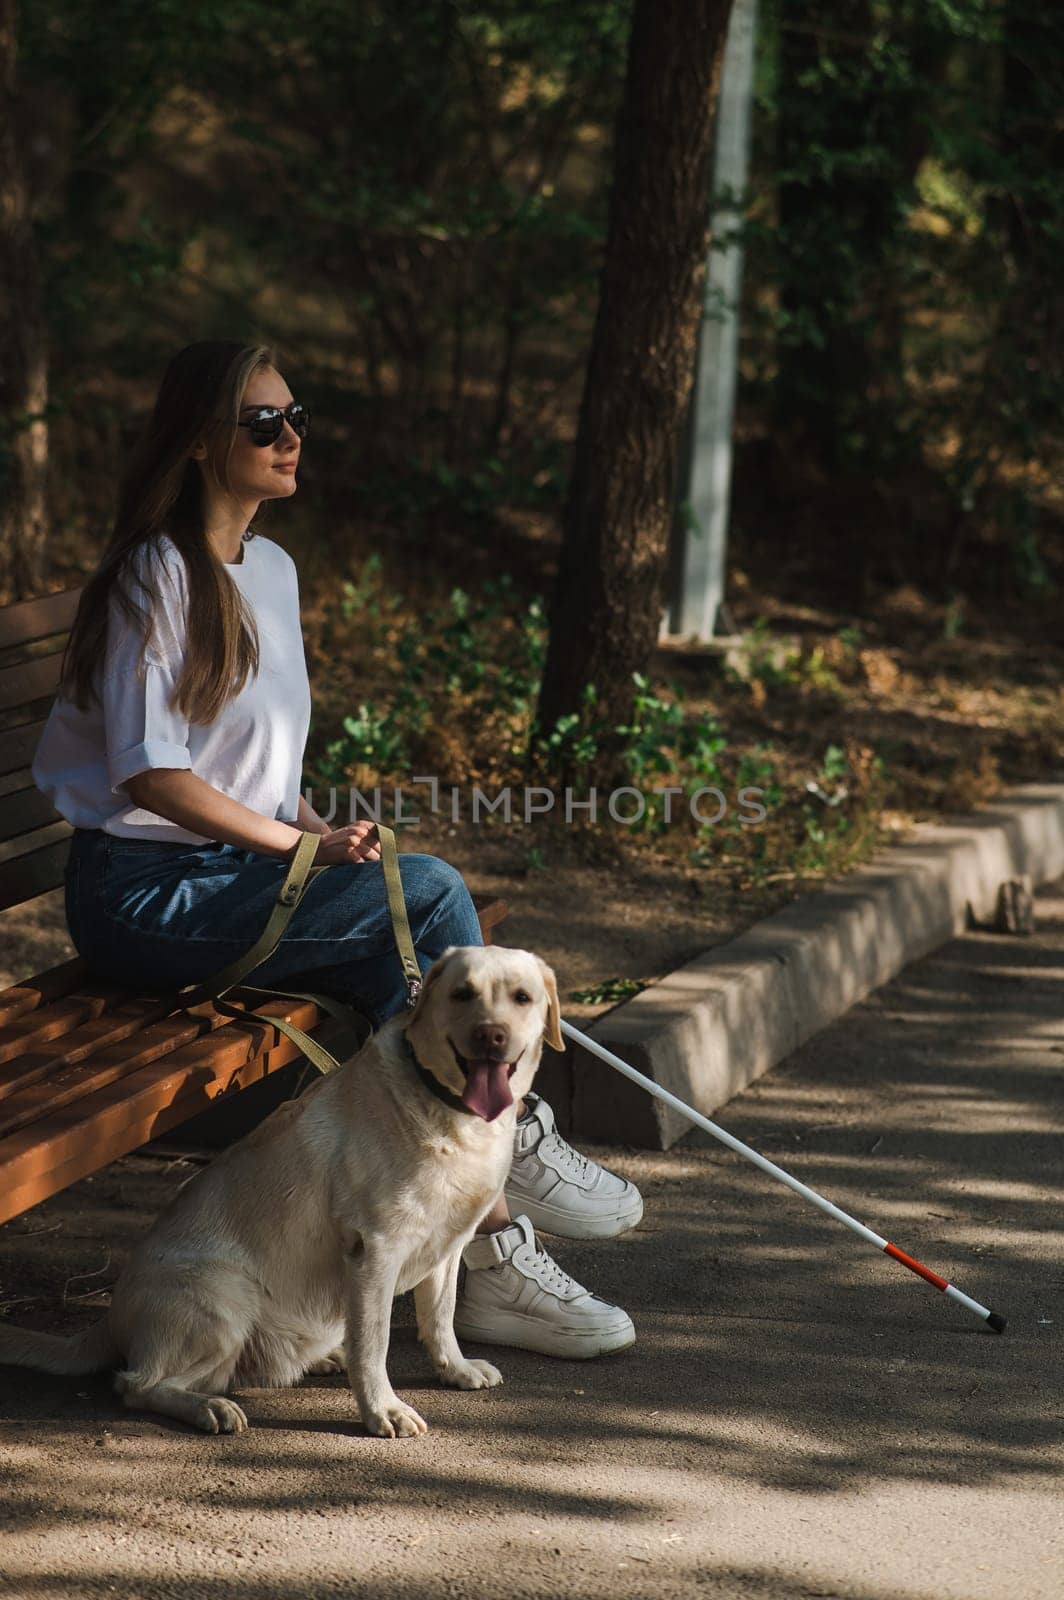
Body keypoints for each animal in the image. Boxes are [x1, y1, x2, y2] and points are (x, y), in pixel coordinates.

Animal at [0, 940, 563, 1446]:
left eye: (522, 997)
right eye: (463, 994)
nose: (491, 1036)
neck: (446, 1108)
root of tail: (110, 1320)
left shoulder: (448, 1243)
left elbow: (440, 1318)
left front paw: (456, 1369)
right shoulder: (374, 1250)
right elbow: (375, 1343)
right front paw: (382, 1409)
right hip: (224, 1298)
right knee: (138, 1384)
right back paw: (210, 1407)